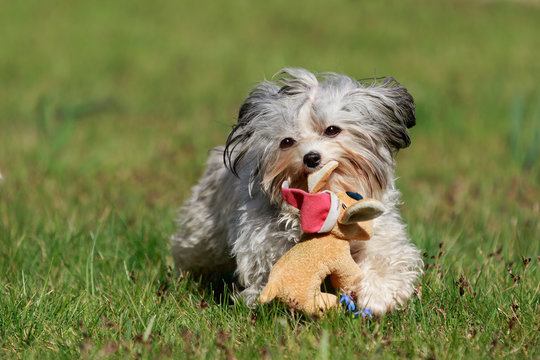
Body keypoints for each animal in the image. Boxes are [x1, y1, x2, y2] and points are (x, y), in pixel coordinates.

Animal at [171, 67, 424, 316]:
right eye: (287, 142)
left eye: (332, 130)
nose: (311, 157)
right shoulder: (263, 240)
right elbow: (269, 269)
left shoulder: (379, 232)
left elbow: (385, 259)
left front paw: (377, 296)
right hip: (203, 229)